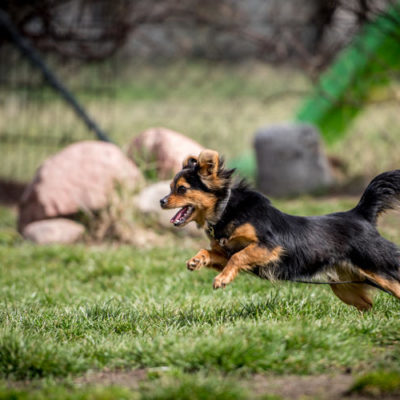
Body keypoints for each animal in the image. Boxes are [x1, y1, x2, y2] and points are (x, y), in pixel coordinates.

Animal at [160, 149, 400, 311]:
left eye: (181, 189)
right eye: (170, 188)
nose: (162, 201)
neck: (226, 210)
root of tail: (360, 214)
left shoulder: (269, 246)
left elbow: (238, 257)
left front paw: (222, 279)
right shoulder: (226, 251)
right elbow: (213, 253)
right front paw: (197, 260)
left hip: (377, 268)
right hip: (343, 285)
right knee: (368, 305)